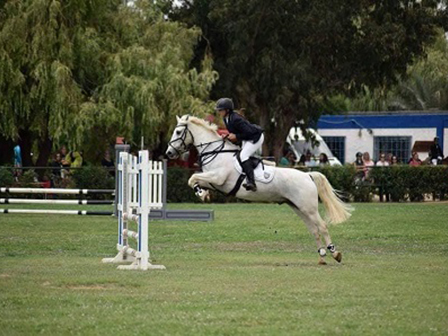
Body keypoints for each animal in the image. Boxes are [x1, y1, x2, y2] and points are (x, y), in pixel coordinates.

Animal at [166, 115, 352, 266]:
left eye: (178, 132)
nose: (168, 153)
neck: (216, 152)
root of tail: (307, 176)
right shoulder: (215, 182)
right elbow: (195, 179)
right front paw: (203, 194)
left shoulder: (218, 178)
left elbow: (193, 178)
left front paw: (200, 193)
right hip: (299, 208)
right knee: (314, 230)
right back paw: (321, 257)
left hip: (309, 208)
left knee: (322, 227)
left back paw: (335, 253)